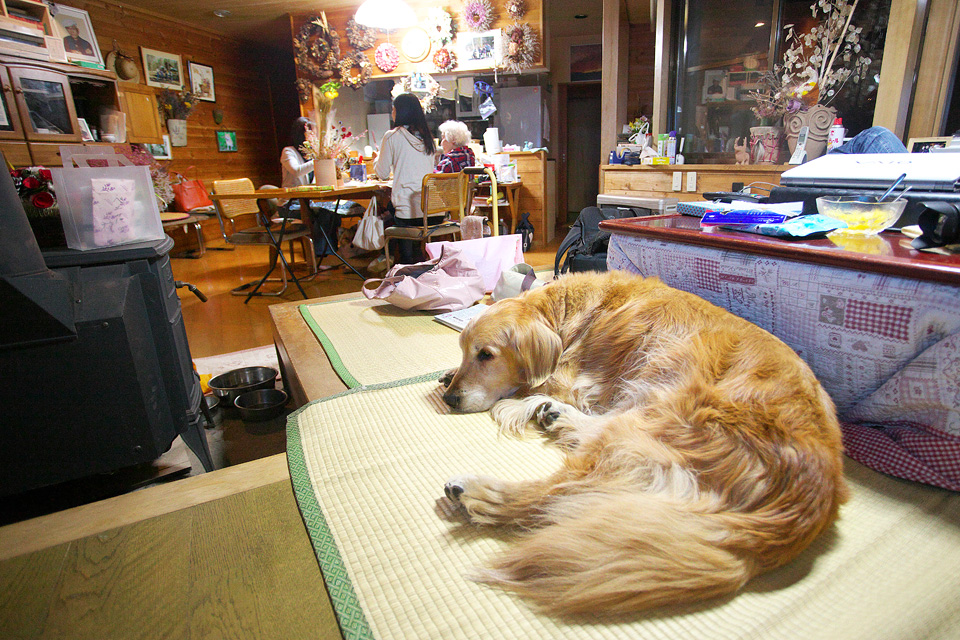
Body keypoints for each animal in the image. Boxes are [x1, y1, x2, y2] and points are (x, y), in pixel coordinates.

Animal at [438, 270, 848, 615]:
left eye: (487, 355)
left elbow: (530, 385)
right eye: (464, 350)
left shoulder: (573, 378)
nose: (450, 399)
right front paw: (448, 373)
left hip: (652, 416)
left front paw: (516, 399)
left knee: (553, 494)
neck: (567, 313)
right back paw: (556, 415)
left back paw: (473, 490)